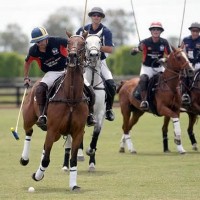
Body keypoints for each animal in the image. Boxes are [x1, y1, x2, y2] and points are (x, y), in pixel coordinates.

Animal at [20, 31, 88, 191]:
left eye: (83, 43)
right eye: (69, 43)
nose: (72, 56)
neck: (71, 97)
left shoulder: (77, 132)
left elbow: (73, 160)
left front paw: (74, 185)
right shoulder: (52, 129)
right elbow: (46, 160)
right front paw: (37, 176)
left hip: (57, 134)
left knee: (45, 146)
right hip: (30, 118)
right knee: (29, 131)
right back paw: (24, 159)